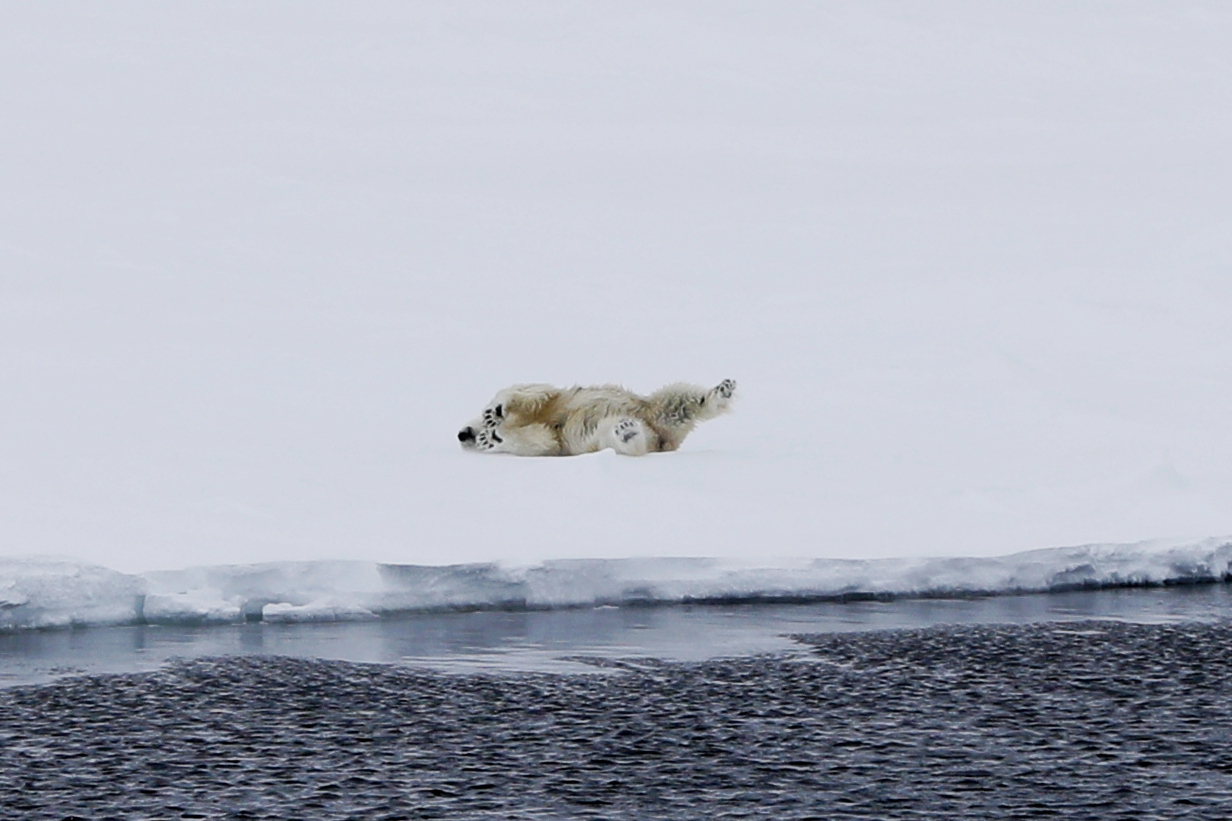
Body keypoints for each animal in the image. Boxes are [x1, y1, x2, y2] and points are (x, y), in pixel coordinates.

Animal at [460, 377, 729, 453]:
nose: (463, 434)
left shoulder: (555, 401)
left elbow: (536, 391)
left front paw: (494, 412)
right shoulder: (557, 444)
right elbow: (543, 441)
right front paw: (492, 438)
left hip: (651, 405)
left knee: (679, 398)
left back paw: (722, 392)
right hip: (606, 434)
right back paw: (628, 433)